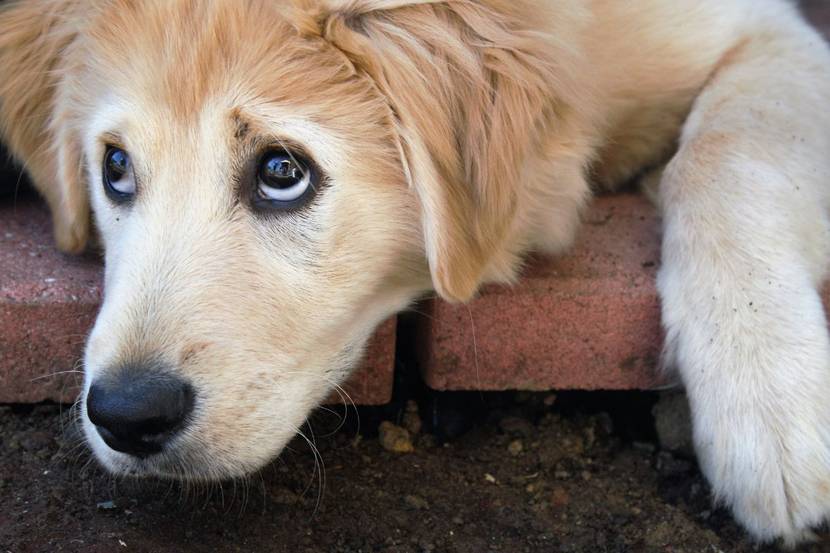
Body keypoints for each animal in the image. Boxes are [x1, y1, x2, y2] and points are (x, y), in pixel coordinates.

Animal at [1, 0, 830, 544]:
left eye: (281, 172)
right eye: (115, 168)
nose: (125, 414)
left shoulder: (762, 31)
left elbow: (728, 152)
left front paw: (770, 399)